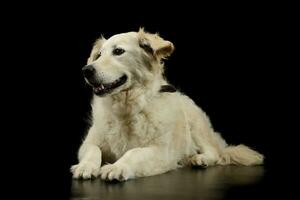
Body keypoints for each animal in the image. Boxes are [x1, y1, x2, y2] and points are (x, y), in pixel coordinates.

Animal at [71, 28, 264, 181]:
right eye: (99, 55)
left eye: (118, 51)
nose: (86, 70)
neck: (128, 105)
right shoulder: (88, 143)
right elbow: (93, 150)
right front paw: (85, 167)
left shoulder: (161, 152)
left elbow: (134, 153)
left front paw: (117, 167)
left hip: (196, 124)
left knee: (215, 153)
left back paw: (200, 159)